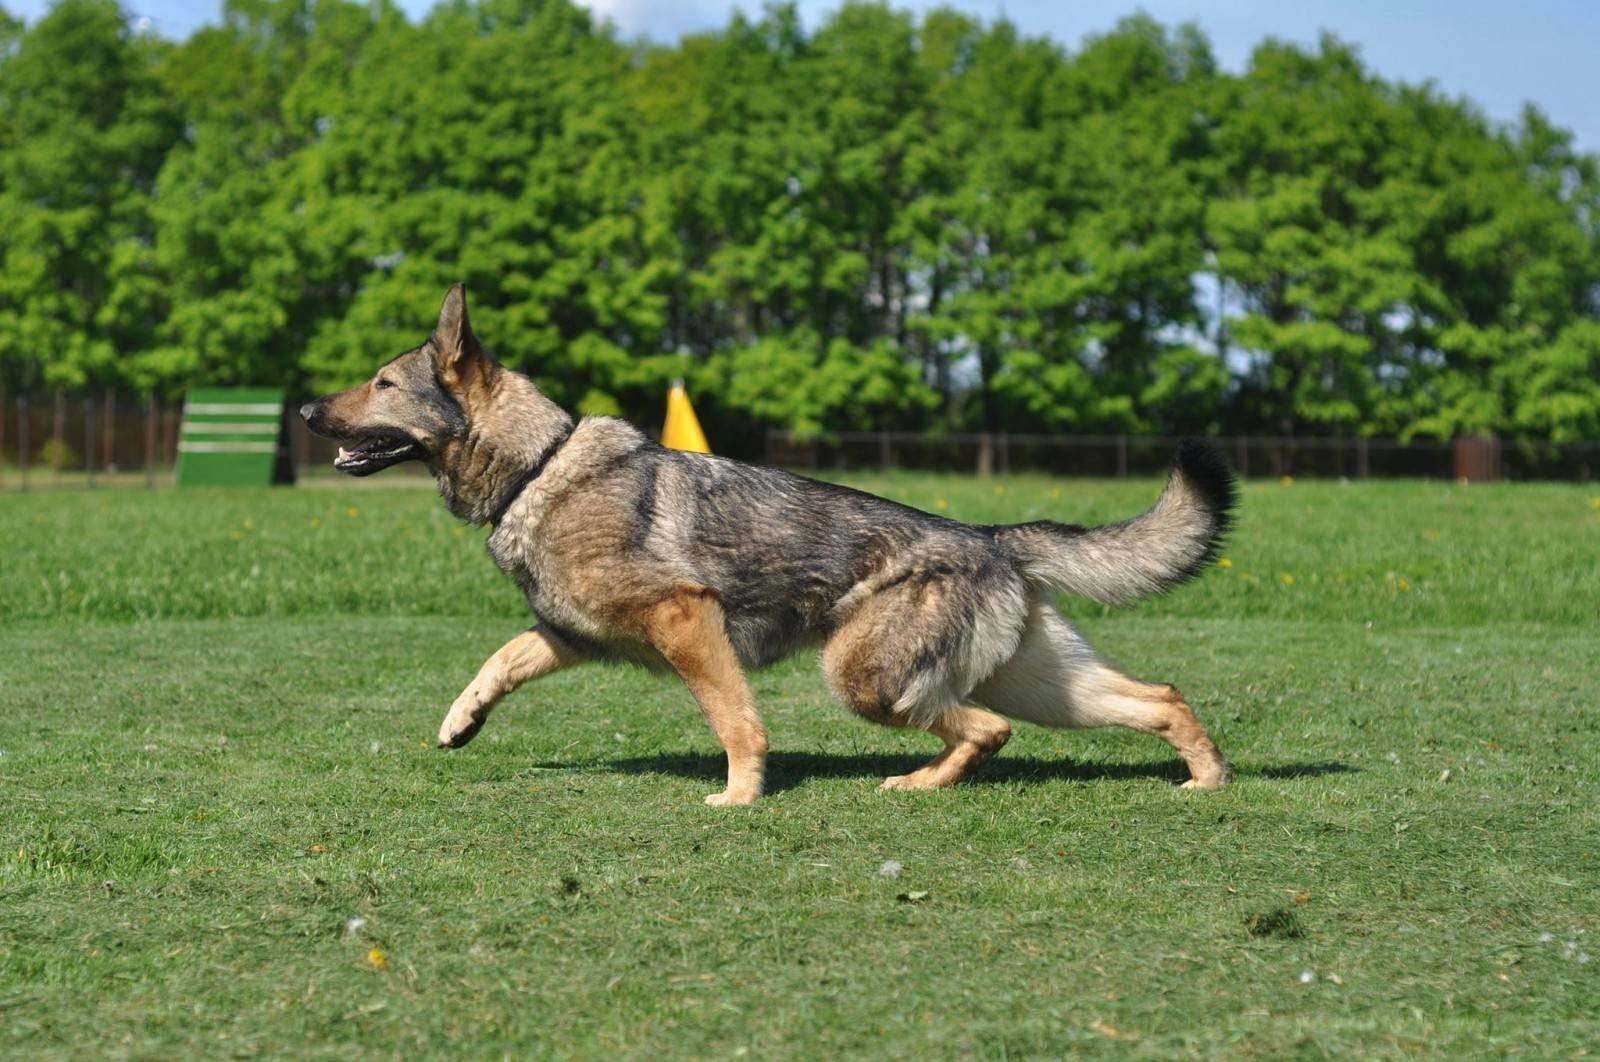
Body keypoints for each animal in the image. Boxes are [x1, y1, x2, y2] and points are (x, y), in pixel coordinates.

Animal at [308, 286, 1235, 799]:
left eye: (382, 383)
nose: (311, 410)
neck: (539, 467)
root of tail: (990, 536)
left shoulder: (687, 622)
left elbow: (735, 722)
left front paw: (740, 797)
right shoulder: (571, 636)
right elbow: (498, 660)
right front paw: (460, 723)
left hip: (865, 678)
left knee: (983, 729)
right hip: (1039, 685)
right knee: (1158, 698)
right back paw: (1205, 779)